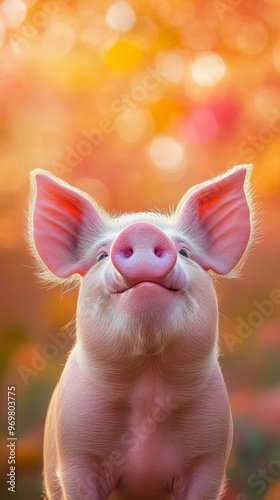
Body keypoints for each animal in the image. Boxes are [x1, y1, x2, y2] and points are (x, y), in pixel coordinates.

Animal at [29, 166, 256, 498]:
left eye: (185, 251)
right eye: (101, 256)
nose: (142, 230)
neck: (148, 391)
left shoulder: (210, 456)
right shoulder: (75, 454)